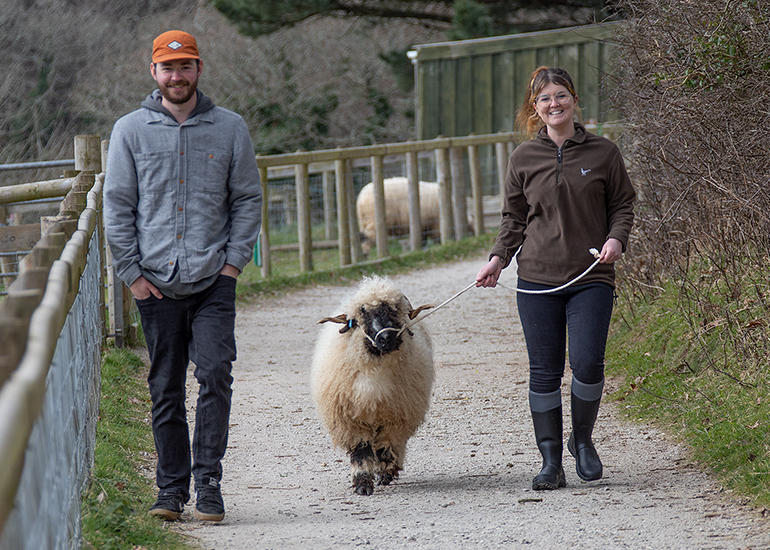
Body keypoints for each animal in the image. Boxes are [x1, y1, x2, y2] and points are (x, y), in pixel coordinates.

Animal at [310, 276, 435, 495]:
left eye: (395, 309)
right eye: (363, 314)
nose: (386, 338)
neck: (375, 370)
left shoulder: (395, 419)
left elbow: (386, 448)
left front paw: (385, 473)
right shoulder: (352, 421)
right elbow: (362, 451)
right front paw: (362, 483)